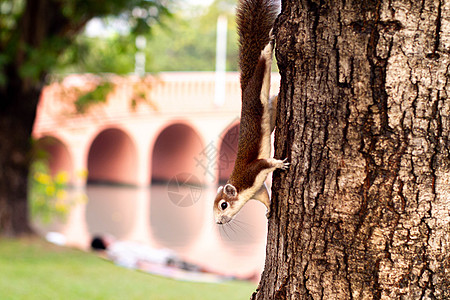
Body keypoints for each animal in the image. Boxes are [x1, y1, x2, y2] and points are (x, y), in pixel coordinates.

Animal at [213, 0, 286, 225]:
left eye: (223, 205)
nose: (218, 222)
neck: (242, 189)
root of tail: (244, 91)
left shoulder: (251, 172)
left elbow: (265, 162)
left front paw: (280, 163)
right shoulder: (257, 190)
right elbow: (265, 197)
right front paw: (269, 210)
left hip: (256, 90)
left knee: (263, 62)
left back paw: (270, 42)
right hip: (268, 113)